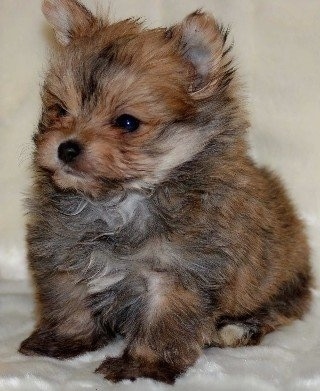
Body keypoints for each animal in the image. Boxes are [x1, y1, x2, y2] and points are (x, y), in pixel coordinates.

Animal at [18, 0, 312, 386]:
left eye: (127, 123)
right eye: (60, 110)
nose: (66, 148)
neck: (120, 202)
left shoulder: (178, 274)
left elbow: (163, 325)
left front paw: (142, 366)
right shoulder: (64, 254)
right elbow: (68, 301)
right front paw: (64, 340)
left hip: (281, 282)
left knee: (278, 309)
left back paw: (236, 329)